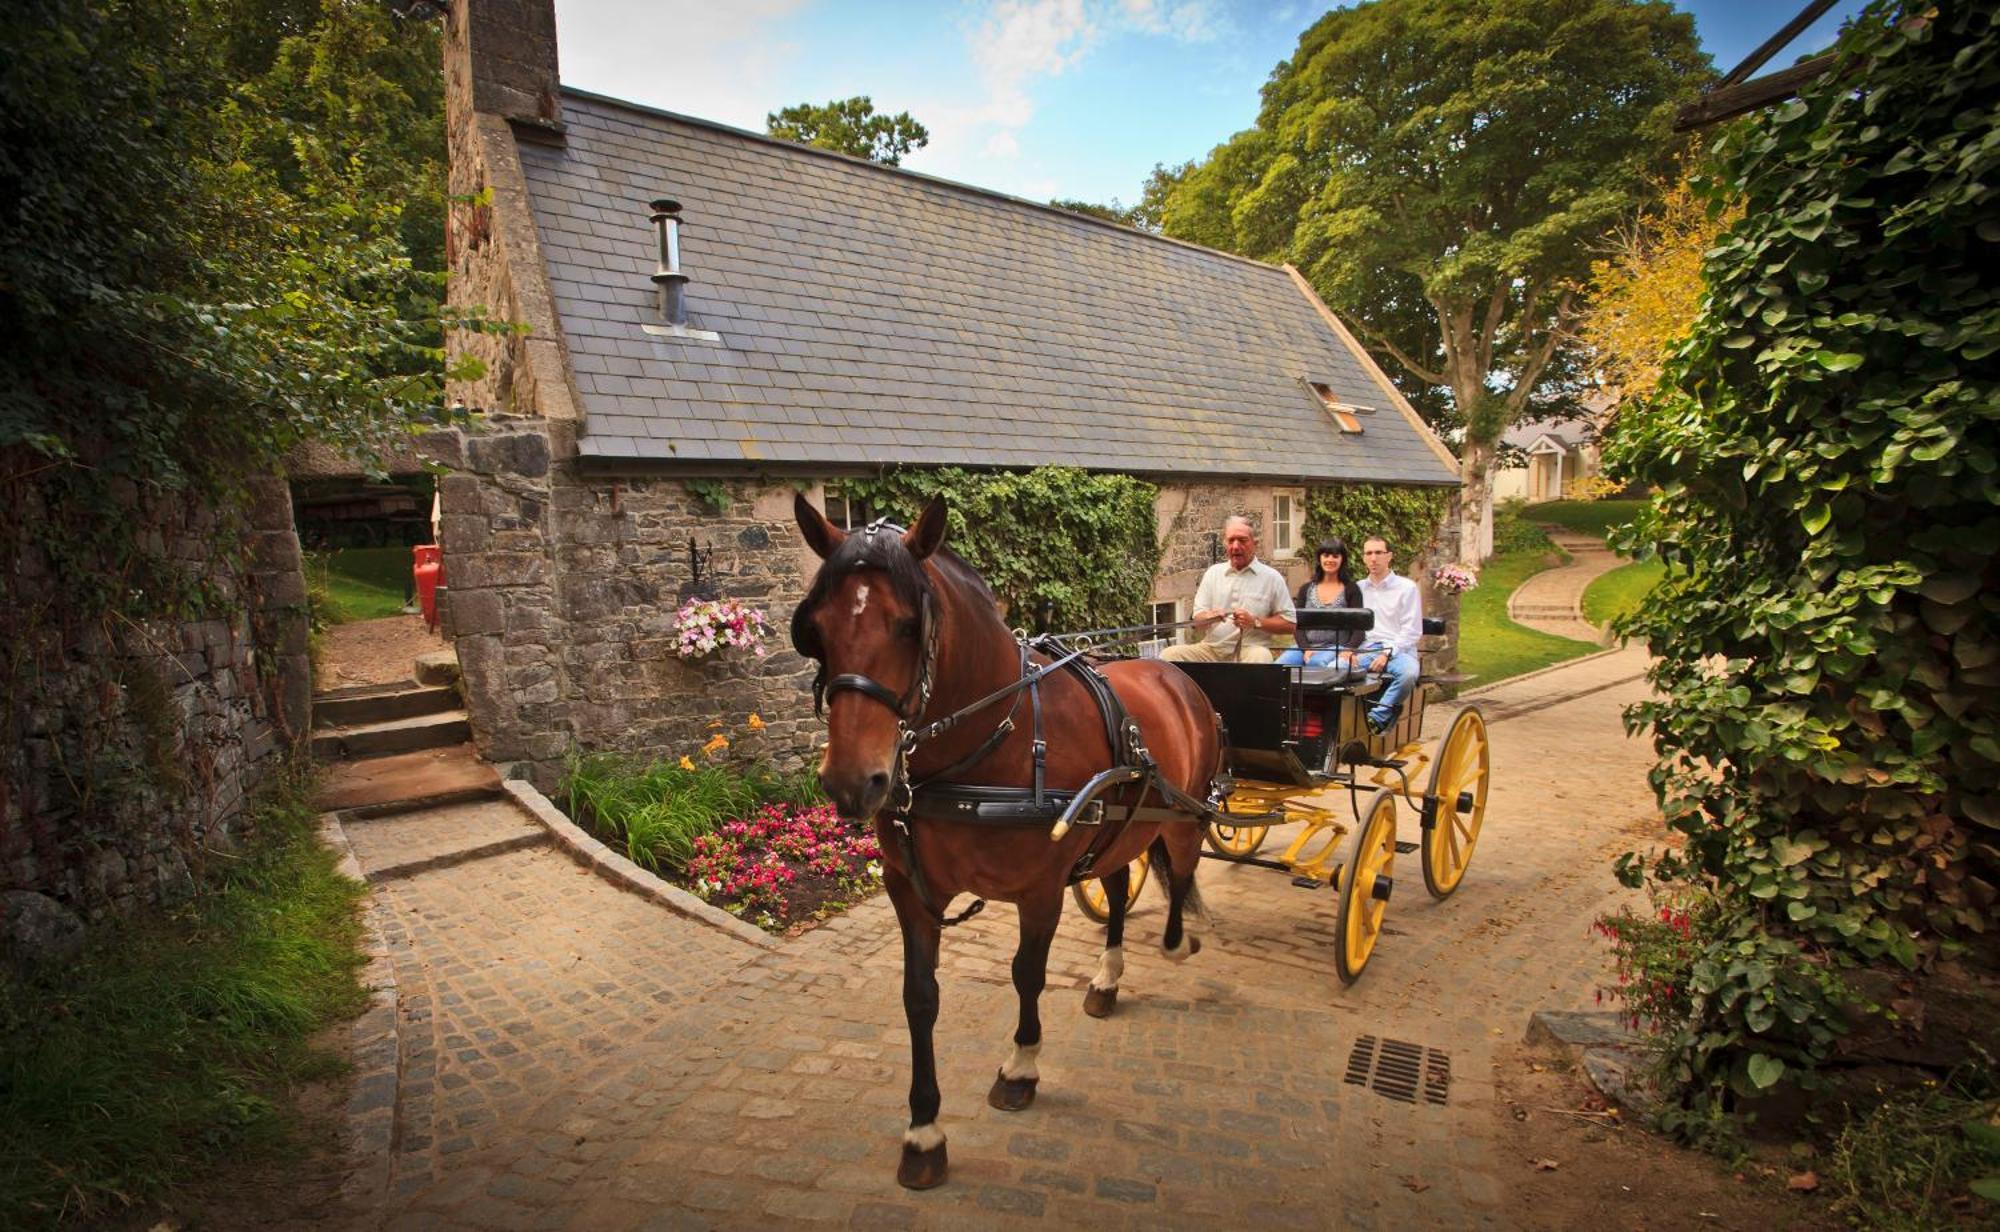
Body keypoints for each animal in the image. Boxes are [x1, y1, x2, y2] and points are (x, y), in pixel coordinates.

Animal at [796, 496, 1216, 1192]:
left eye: (908, 626)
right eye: (817, 628)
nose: (853, 781)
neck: (992, 743)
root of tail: (1169, 668)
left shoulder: (1040, 890)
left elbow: (1026, 974)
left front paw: (1020, 1067)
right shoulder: (909, 890)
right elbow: (919, 997)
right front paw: (924, 1132)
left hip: (1182, 815)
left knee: (1180, 871)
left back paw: (1180, 940)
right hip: (1115, 824)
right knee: (1117, 887)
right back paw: (1107, 979)